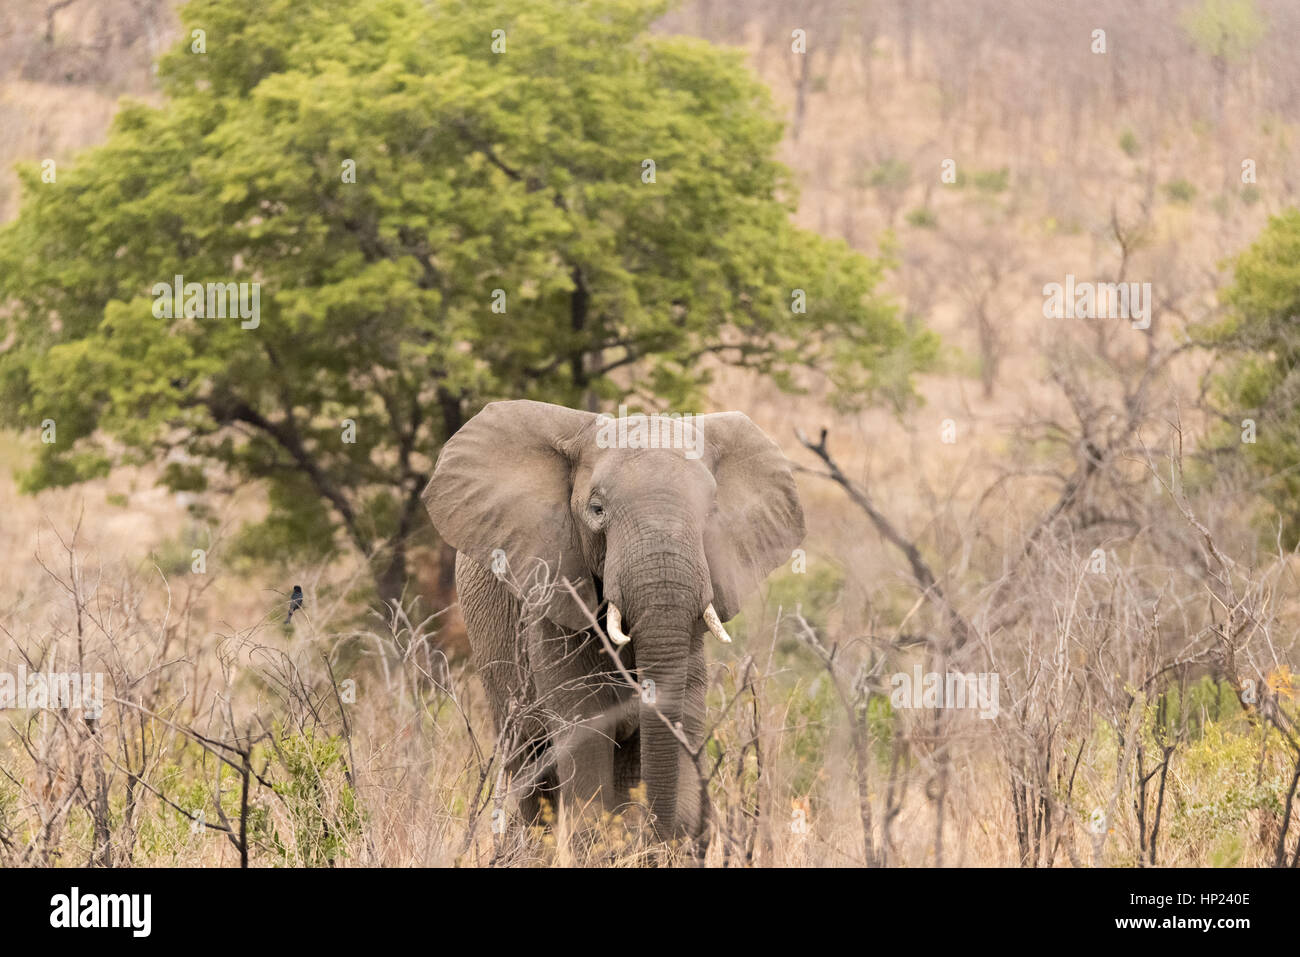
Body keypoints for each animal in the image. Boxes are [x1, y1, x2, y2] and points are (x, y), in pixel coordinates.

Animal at [421, 400, 804, 842]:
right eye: (597, 510)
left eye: (711, 513)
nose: (658, 834)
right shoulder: (550, 591)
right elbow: (585, 724)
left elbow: (686, 709)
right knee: (528, 756)